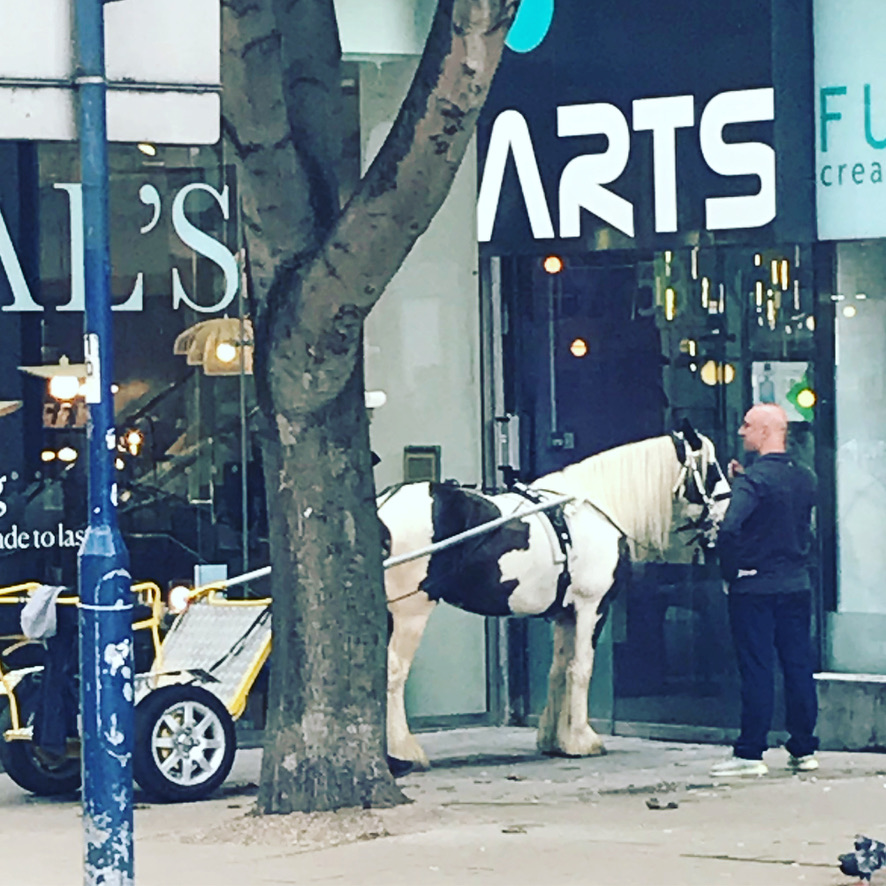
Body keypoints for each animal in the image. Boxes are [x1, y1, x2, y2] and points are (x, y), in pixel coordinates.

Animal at [379, 428, 731, 768]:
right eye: (712, 469)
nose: (726, 514)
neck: (596, 509)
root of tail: (383, 506)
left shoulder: (566, 613)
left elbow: (559, 669)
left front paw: (556, 739)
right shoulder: (592, 607)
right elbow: (581, 668)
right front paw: (582, 740)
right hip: (410, 611)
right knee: (394, 671)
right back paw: (404, 753)